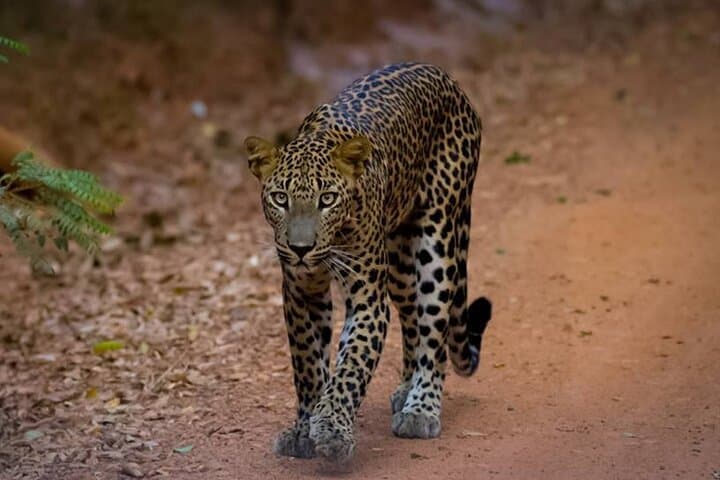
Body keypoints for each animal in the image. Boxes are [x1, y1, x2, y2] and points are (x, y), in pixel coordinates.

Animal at [244, 62, 493, 463]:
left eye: (327, 199)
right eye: (280, 198)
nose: (300, 248)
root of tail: (445, 77)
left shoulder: (367, 297)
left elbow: (351, 366)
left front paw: (332, 429)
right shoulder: (300, 292)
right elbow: (309, 364)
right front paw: (303, 428)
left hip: (436, 240)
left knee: (434, 330)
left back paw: (421, 409)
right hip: (399, 260)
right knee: (412, 318)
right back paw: (405, 388)